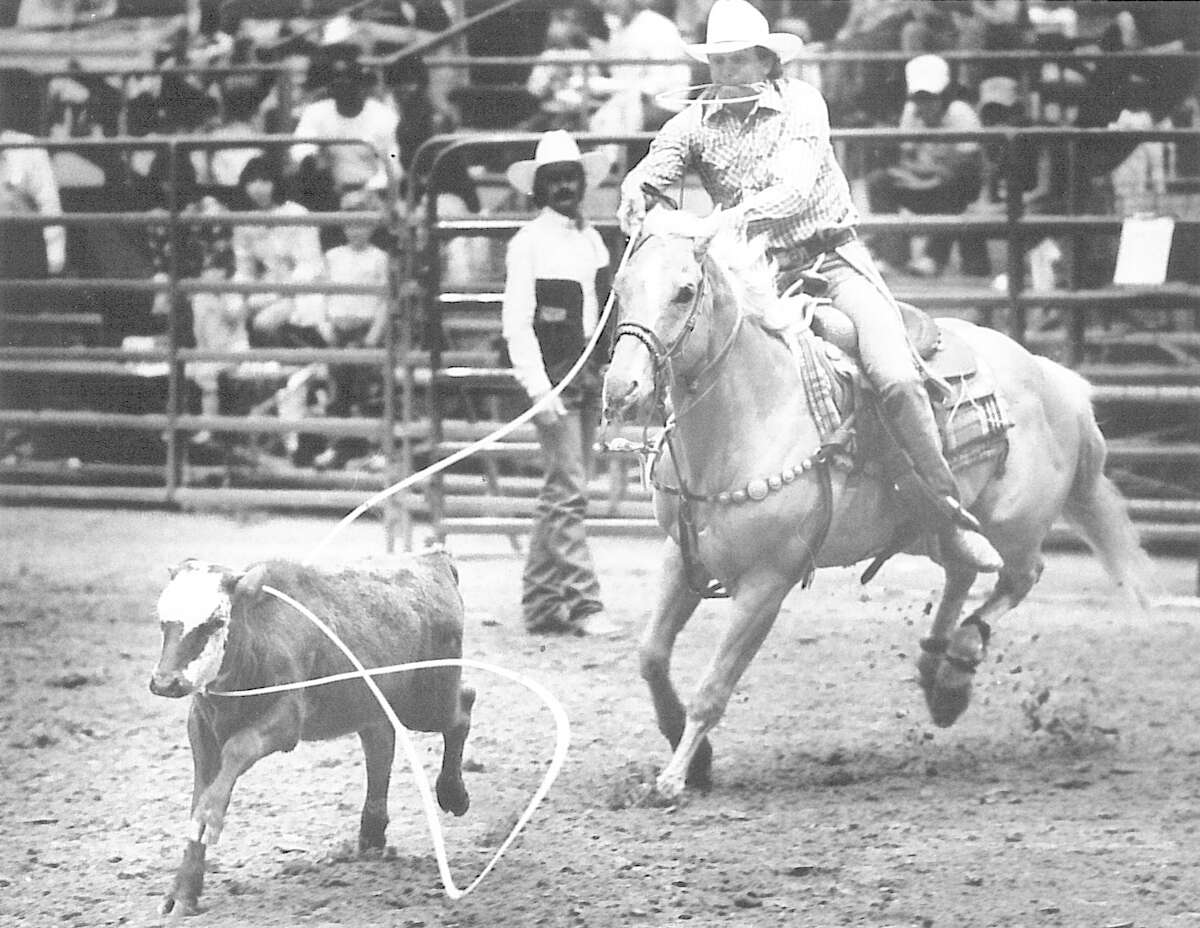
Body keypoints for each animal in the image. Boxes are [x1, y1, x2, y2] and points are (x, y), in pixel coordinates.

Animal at [600, 206, 1152, 801]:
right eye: (620, 287)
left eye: (684, 292)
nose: (621, 388)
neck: (751, 418)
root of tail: (1053, 377)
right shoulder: (682, 557)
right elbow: (651, 657)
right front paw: (694, 757)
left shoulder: (768, 581)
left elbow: (714, 687)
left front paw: (675, 776)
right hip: (939, 528)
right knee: (961, 567)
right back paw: (938, 675)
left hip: (1016, 524)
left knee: (1019, 577)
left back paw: (955, 668)